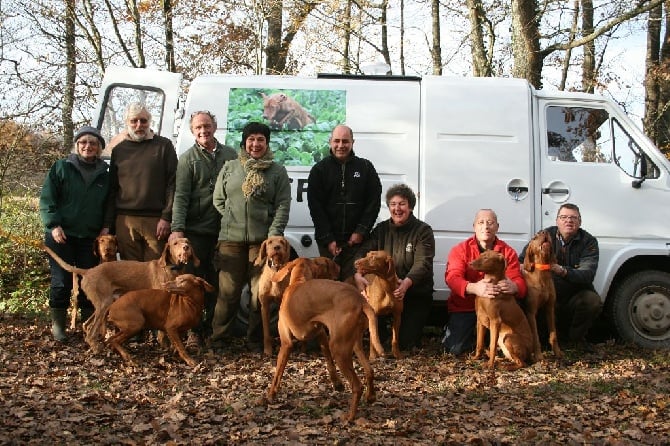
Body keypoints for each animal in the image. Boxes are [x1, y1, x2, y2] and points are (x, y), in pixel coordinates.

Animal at [41, 237, 198, 356]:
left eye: (187, 241)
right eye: (175, 243)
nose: (186, 247)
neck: (171, 268)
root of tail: (88, 271)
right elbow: (162, 331)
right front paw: (165, 345)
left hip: (104, 304)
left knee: (86, 325)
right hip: (104, 304)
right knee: (91, 330)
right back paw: (97, 348)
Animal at [266, 274, 386, 424]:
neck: (297, 282)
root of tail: (361, 301)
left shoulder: (286, 343)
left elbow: (277, 374)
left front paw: (271, 394)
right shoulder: (322, 334)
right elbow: (328, 360)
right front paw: (337, 383)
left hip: (339, 349)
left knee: (357, 386)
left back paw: (350, 417)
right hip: (353, 345)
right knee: (370, 370)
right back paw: (370, 397)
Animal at [524, 232, 564, 360]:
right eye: (534, 238)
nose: (544, 231)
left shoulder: (550, 308)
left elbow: (553, 334)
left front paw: (557, 352)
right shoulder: (531, 312)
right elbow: (535, 336)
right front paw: (538, 355)